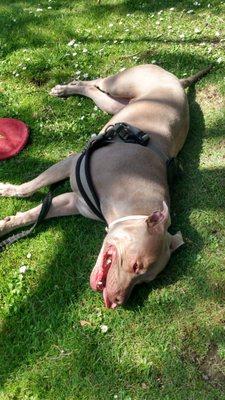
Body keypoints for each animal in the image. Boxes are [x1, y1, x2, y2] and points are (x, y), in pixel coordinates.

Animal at [0, 65, 211, 310]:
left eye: (145, 280)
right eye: (136, 265)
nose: (118, 302)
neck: (127, 199)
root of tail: (176, 79)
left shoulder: (73, 202)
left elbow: (33, 215)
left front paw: (6, 223)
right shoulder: (71, 164)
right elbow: (29, 188)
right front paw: (8, 192)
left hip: (116, 104)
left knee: (95, 91)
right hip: (120, 84)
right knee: (97, 82)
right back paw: (67, 87)